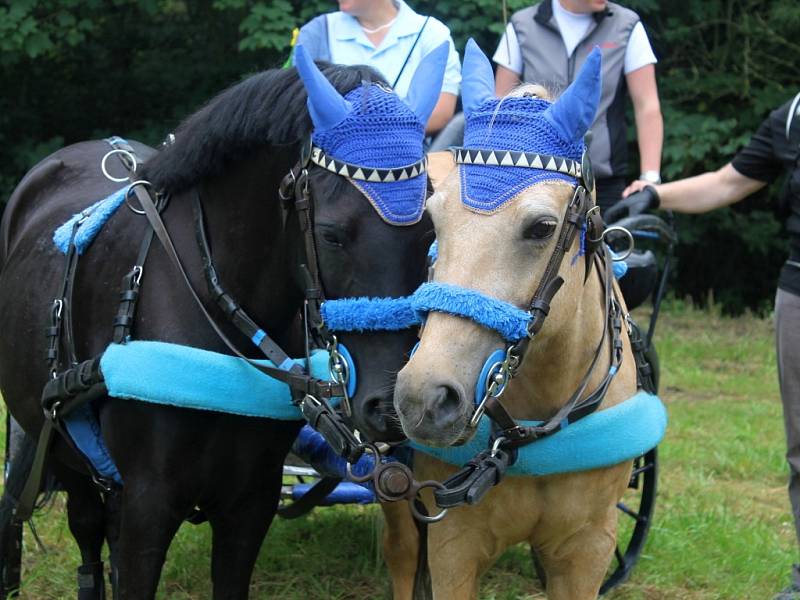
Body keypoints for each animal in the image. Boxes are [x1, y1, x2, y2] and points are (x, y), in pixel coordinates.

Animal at [0, 44, 446, 596]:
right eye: (331, 234)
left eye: (429, 229)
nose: (393, 406)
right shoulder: (148, 502)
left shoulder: (250, 502)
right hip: (58, 444)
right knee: (83, 526)